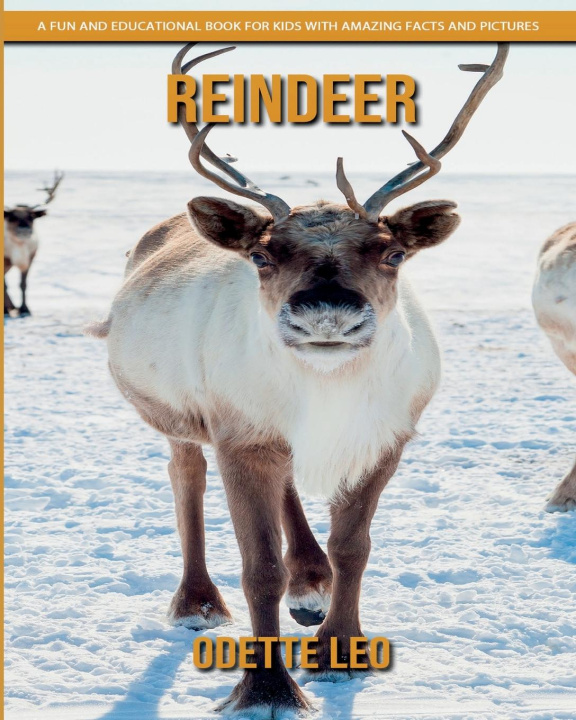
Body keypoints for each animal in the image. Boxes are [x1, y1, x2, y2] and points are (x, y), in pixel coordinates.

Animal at [4, 171, 64, 316]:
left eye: (31, 216)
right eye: (11, 217)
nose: (24, 230)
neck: (18, 247)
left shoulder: (31, 256)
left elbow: (23, 284)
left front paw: (24, 309)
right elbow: (5, 285)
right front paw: (7, 310)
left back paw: (12, 306)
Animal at [89, 43, 508, 716]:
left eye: (393, 253)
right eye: (262, 256)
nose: (326, 312)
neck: (326, 388)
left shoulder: (384, 440)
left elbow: (353, 548)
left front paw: (341, 649)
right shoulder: (241, 437)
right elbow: (258, 567)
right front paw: (266, 687)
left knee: (290, 495)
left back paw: (310, 583)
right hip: (180, 418)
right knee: (186, 475)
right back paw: (198, 600)